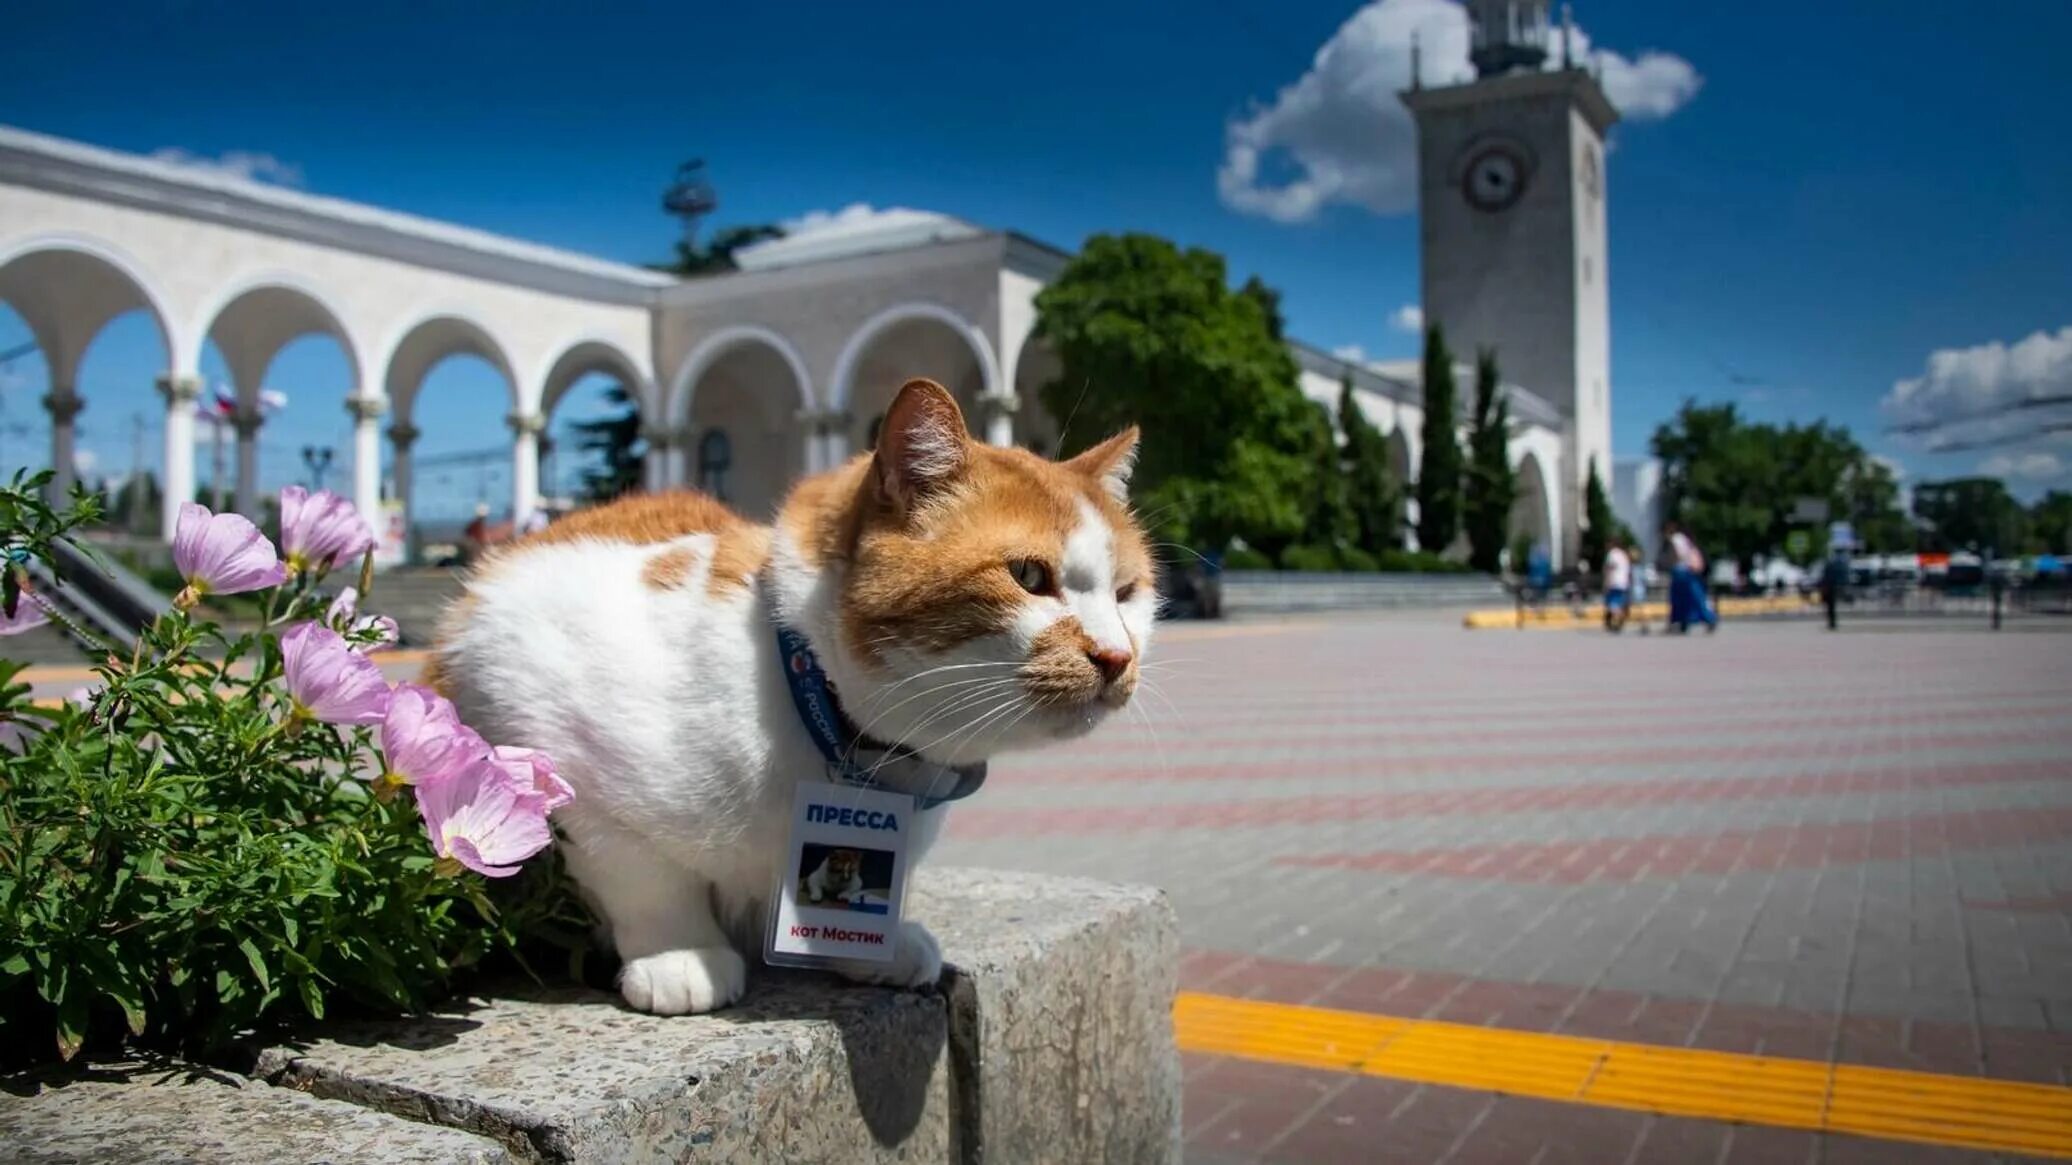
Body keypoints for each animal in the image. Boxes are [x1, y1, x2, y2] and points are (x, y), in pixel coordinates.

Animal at [428, 379, 1160, 1007]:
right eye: (1029, 576)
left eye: (1127, 592)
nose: (1116, 655)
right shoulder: (530, 700)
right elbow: (642, 876)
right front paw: (679, 954)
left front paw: (871, 947)